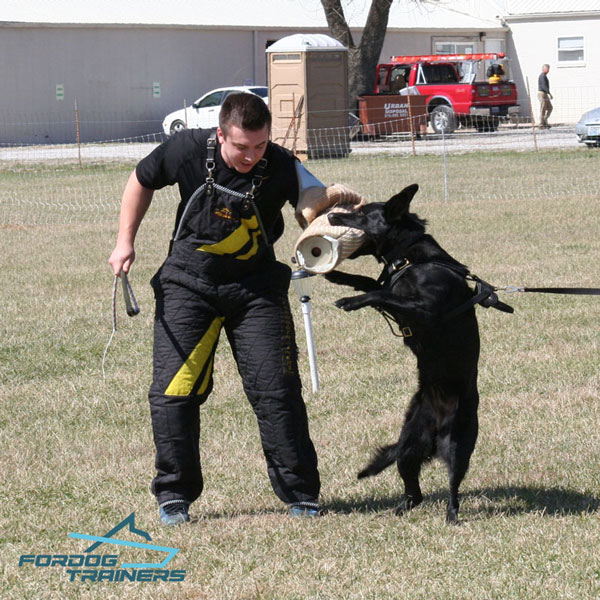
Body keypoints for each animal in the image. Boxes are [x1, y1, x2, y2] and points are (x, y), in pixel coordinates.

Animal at [326, 184, 512, 524]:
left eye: (361, 213)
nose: (332, 215)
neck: (410, 258)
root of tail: (435, 427)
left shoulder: (426, 311)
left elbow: (379, 291)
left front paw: (350, 300)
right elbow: (372, 283)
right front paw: (338, 277)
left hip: (457, 444)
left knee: (453, 487)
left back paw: (452, 516)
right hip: (408, 446)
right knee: (415, 492)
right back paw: (400, 508)